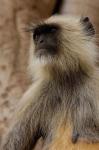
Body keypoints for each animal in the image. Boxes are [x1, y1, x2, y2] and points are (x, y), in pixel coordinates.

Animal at [0, 14, 99, 150]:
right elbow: (12, 145)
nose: (40, 41)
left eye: (51, 30)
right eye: (37, 36)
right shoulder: (34, 94)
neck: (67, 80)